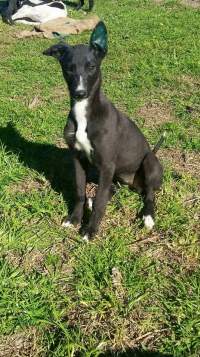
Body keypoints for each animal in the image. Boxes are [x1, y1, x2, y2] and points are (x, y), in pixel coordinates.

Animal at [43, 20, 163, 241]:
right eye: (69, 69)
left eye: (91, 67)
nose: (80, 93)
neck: (85, 113)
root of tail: (133, 184)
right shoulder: (78, 158)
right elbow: (80, 192)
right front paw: (75, 218)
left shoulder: (107, 164)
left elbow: (100, 202)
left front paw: (90, 230)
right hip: (113, 176)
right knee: (112, 190)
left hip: (148, 162)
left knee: (149, 195)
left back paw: (148, 216)